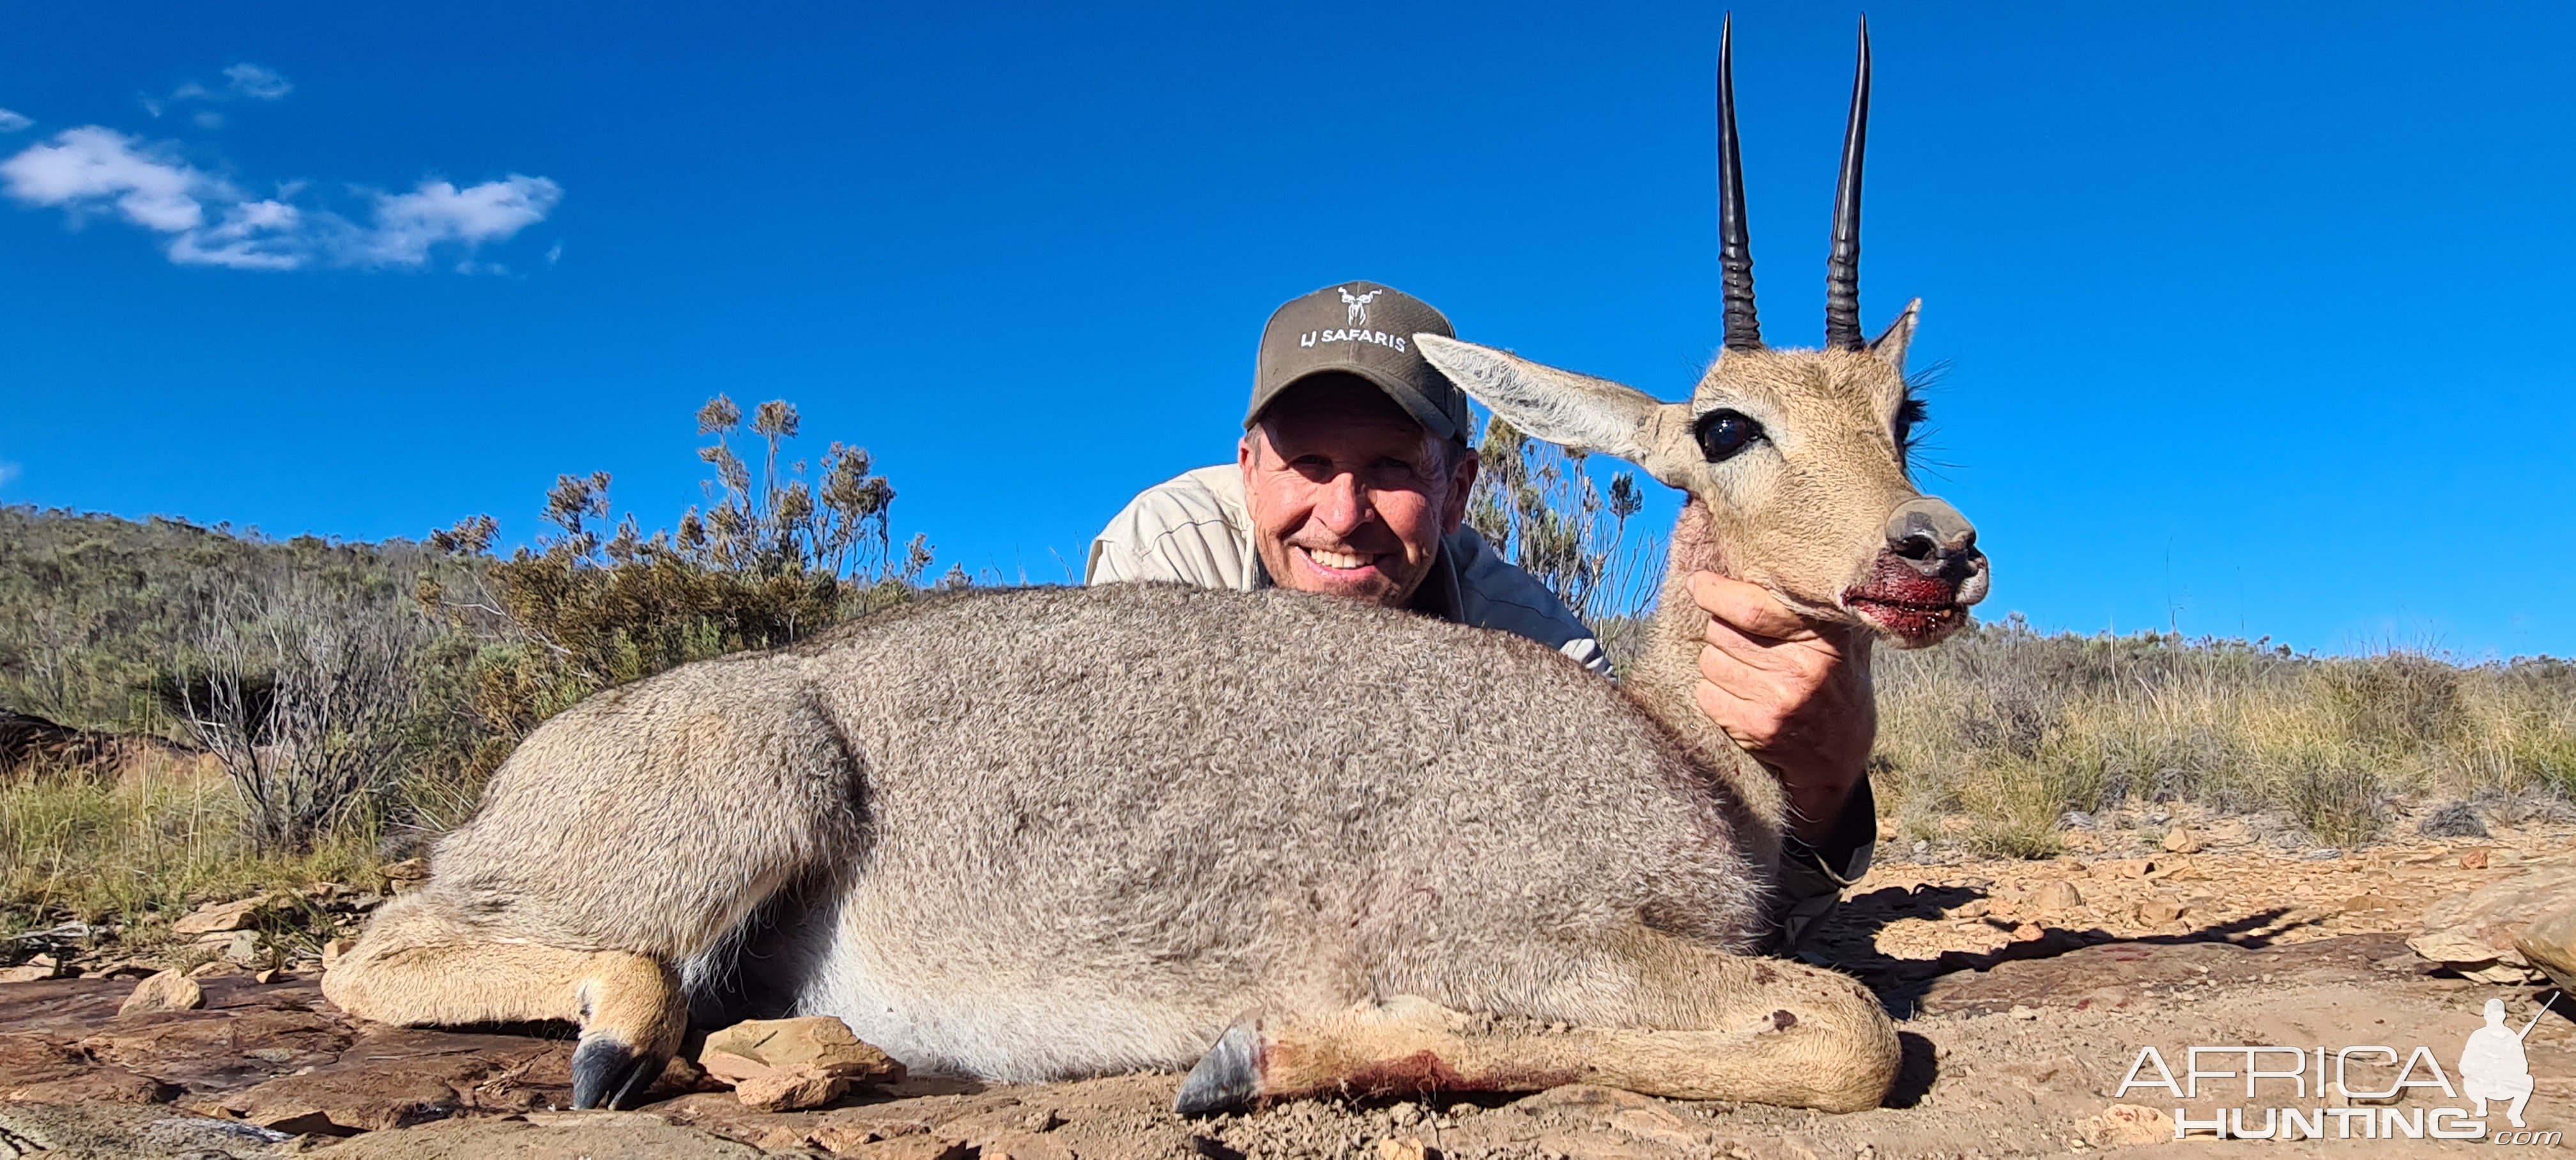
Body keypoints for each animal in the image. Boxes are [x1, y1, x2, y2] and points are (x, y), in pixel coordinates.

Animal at [316, 18, 1968, 1118]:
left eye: (1906, 411)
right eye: (1725, 424)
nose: (1934, 551)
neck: (1678, 745)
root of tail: (521, 776)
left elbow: (1836, 1022)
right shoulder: (1509, 927)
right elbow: (1850, 1032)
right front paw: (1273, 1051)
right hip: (740, 798)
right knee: (383, 945)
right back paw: (618, 1026)